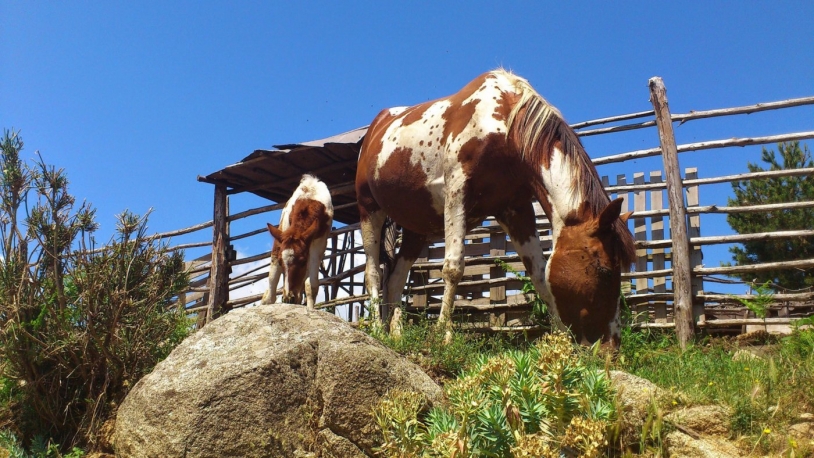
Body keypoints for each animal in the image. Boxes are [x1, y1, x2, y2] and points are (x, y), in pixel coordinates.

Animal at [264, 174, 334, 308]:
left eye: (303, 261)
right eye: (281, 262)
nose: (288, 298)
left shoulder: (319, 243)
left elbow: (311, 285)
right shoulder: (282, 233)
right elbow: (272, 279)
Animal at [356, 69, 636, 348]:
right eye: (605, 271)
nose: (612, 347)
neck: (505, 129)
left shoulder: (516, 210)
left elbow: (540, 275)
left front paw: (561, 342)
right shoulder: (457, 192)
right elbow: (453, 268)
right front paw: (443, 335)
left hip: (417, 228)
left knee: (395, 278)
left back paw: (396, 334)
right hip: (369, 210)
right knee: (373, 272)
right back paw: (378, 329)